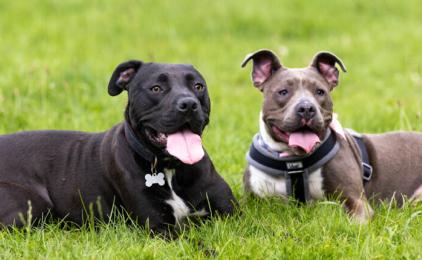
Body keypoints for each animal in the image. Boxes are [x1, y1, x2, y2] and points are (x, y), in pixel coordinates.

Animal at [0, 60, 237, 233]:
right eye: (156, 88)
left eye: (198, 86)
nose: (188, 104)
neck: (170, 167)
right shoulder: (159, 227)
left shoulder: (233, 214)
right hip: (31, 205)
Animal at [241, 49, 422, 222]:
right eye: (283, 92)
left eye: (320, 92)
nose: (306, 108)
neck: (293, 161)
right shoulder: (252, 201)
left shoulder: (356, 201)